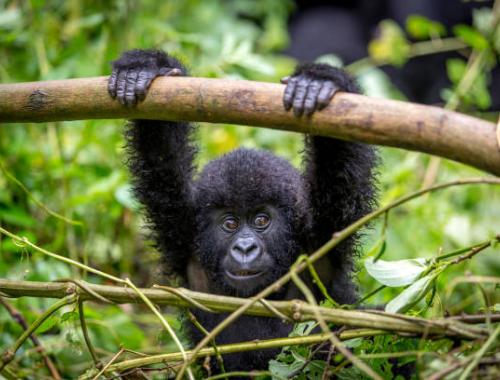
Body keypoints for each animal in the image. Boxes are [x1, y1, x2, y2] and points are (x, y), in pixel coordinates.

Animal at [108, 49, 376, 372]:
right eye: (230, 224)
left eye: (262, 220)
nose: (245, 248)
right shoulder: (182, 231)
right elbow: (160, 156)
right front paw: (144, 69)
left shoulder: (323, 238)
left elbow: (340, 166)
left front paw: (320, 81)